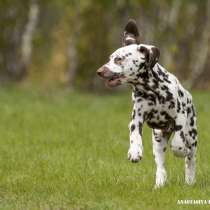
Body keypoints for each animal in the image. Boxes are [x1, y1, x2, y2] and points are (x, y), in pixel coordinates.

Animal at [96, 19, 198, 187]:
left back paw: (190, 179)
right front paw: (134, 151)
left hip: (192, 135)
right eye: (110, 58)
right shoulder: (136, 119)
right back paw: (160, 182)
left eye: (118, 59)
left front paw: (180, 149)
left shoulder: (180, 116)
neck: (152, 91)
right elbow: (135, 135)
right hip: (158, 141)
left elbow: (178, 142)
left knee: (191, 158)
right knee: (161, 165)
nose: (99, 71)